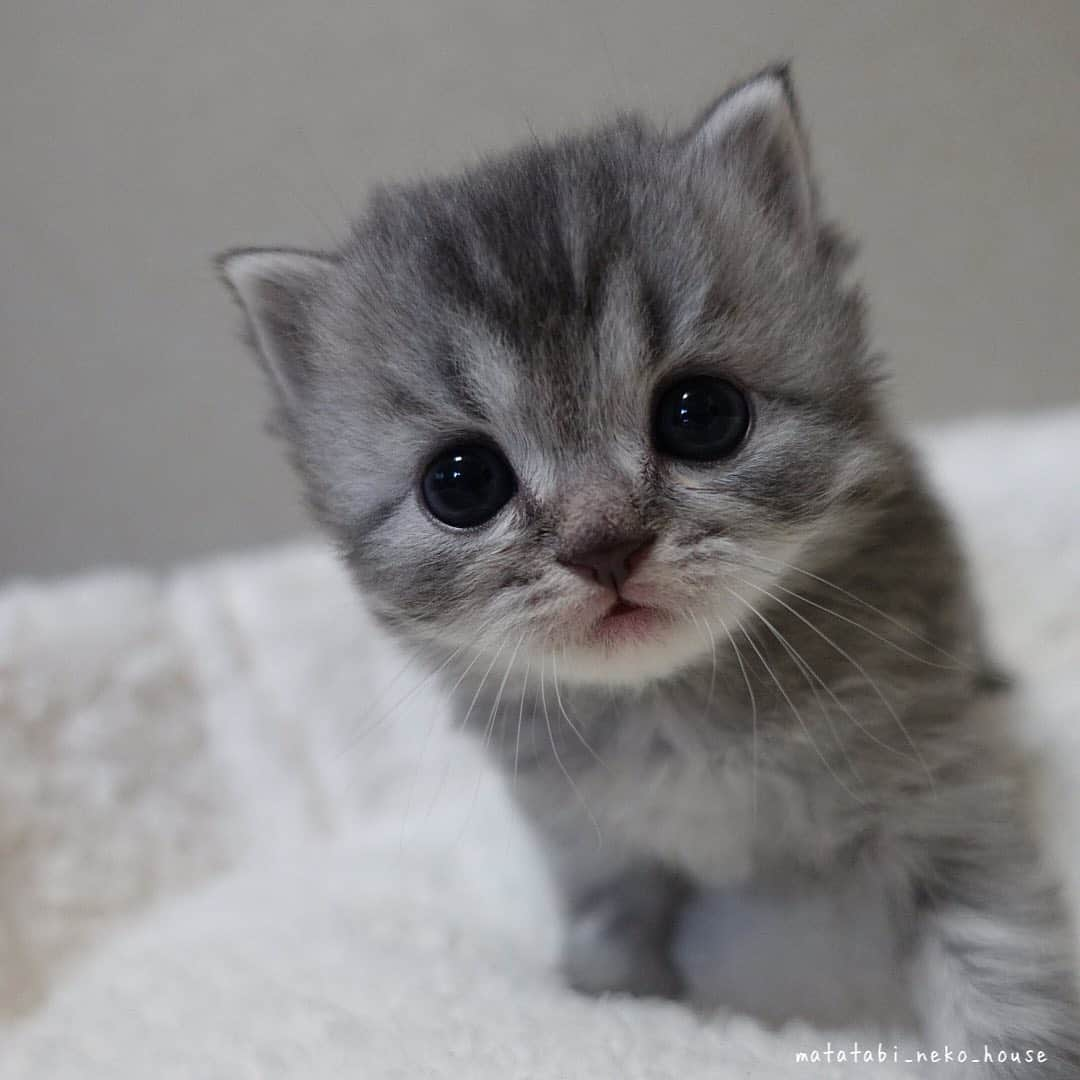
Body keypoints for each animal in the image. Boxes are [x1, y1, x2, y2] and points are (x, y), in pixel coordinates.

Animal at [221, 71, 1080, 1075]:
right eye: (462, 482)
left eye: (700, 414)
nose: (604, 546)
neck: (675, 714)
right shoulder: (590, 843)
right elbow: (609, 952)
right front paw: (612, 1007)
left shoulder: (943, 795)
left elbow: (998, 967)